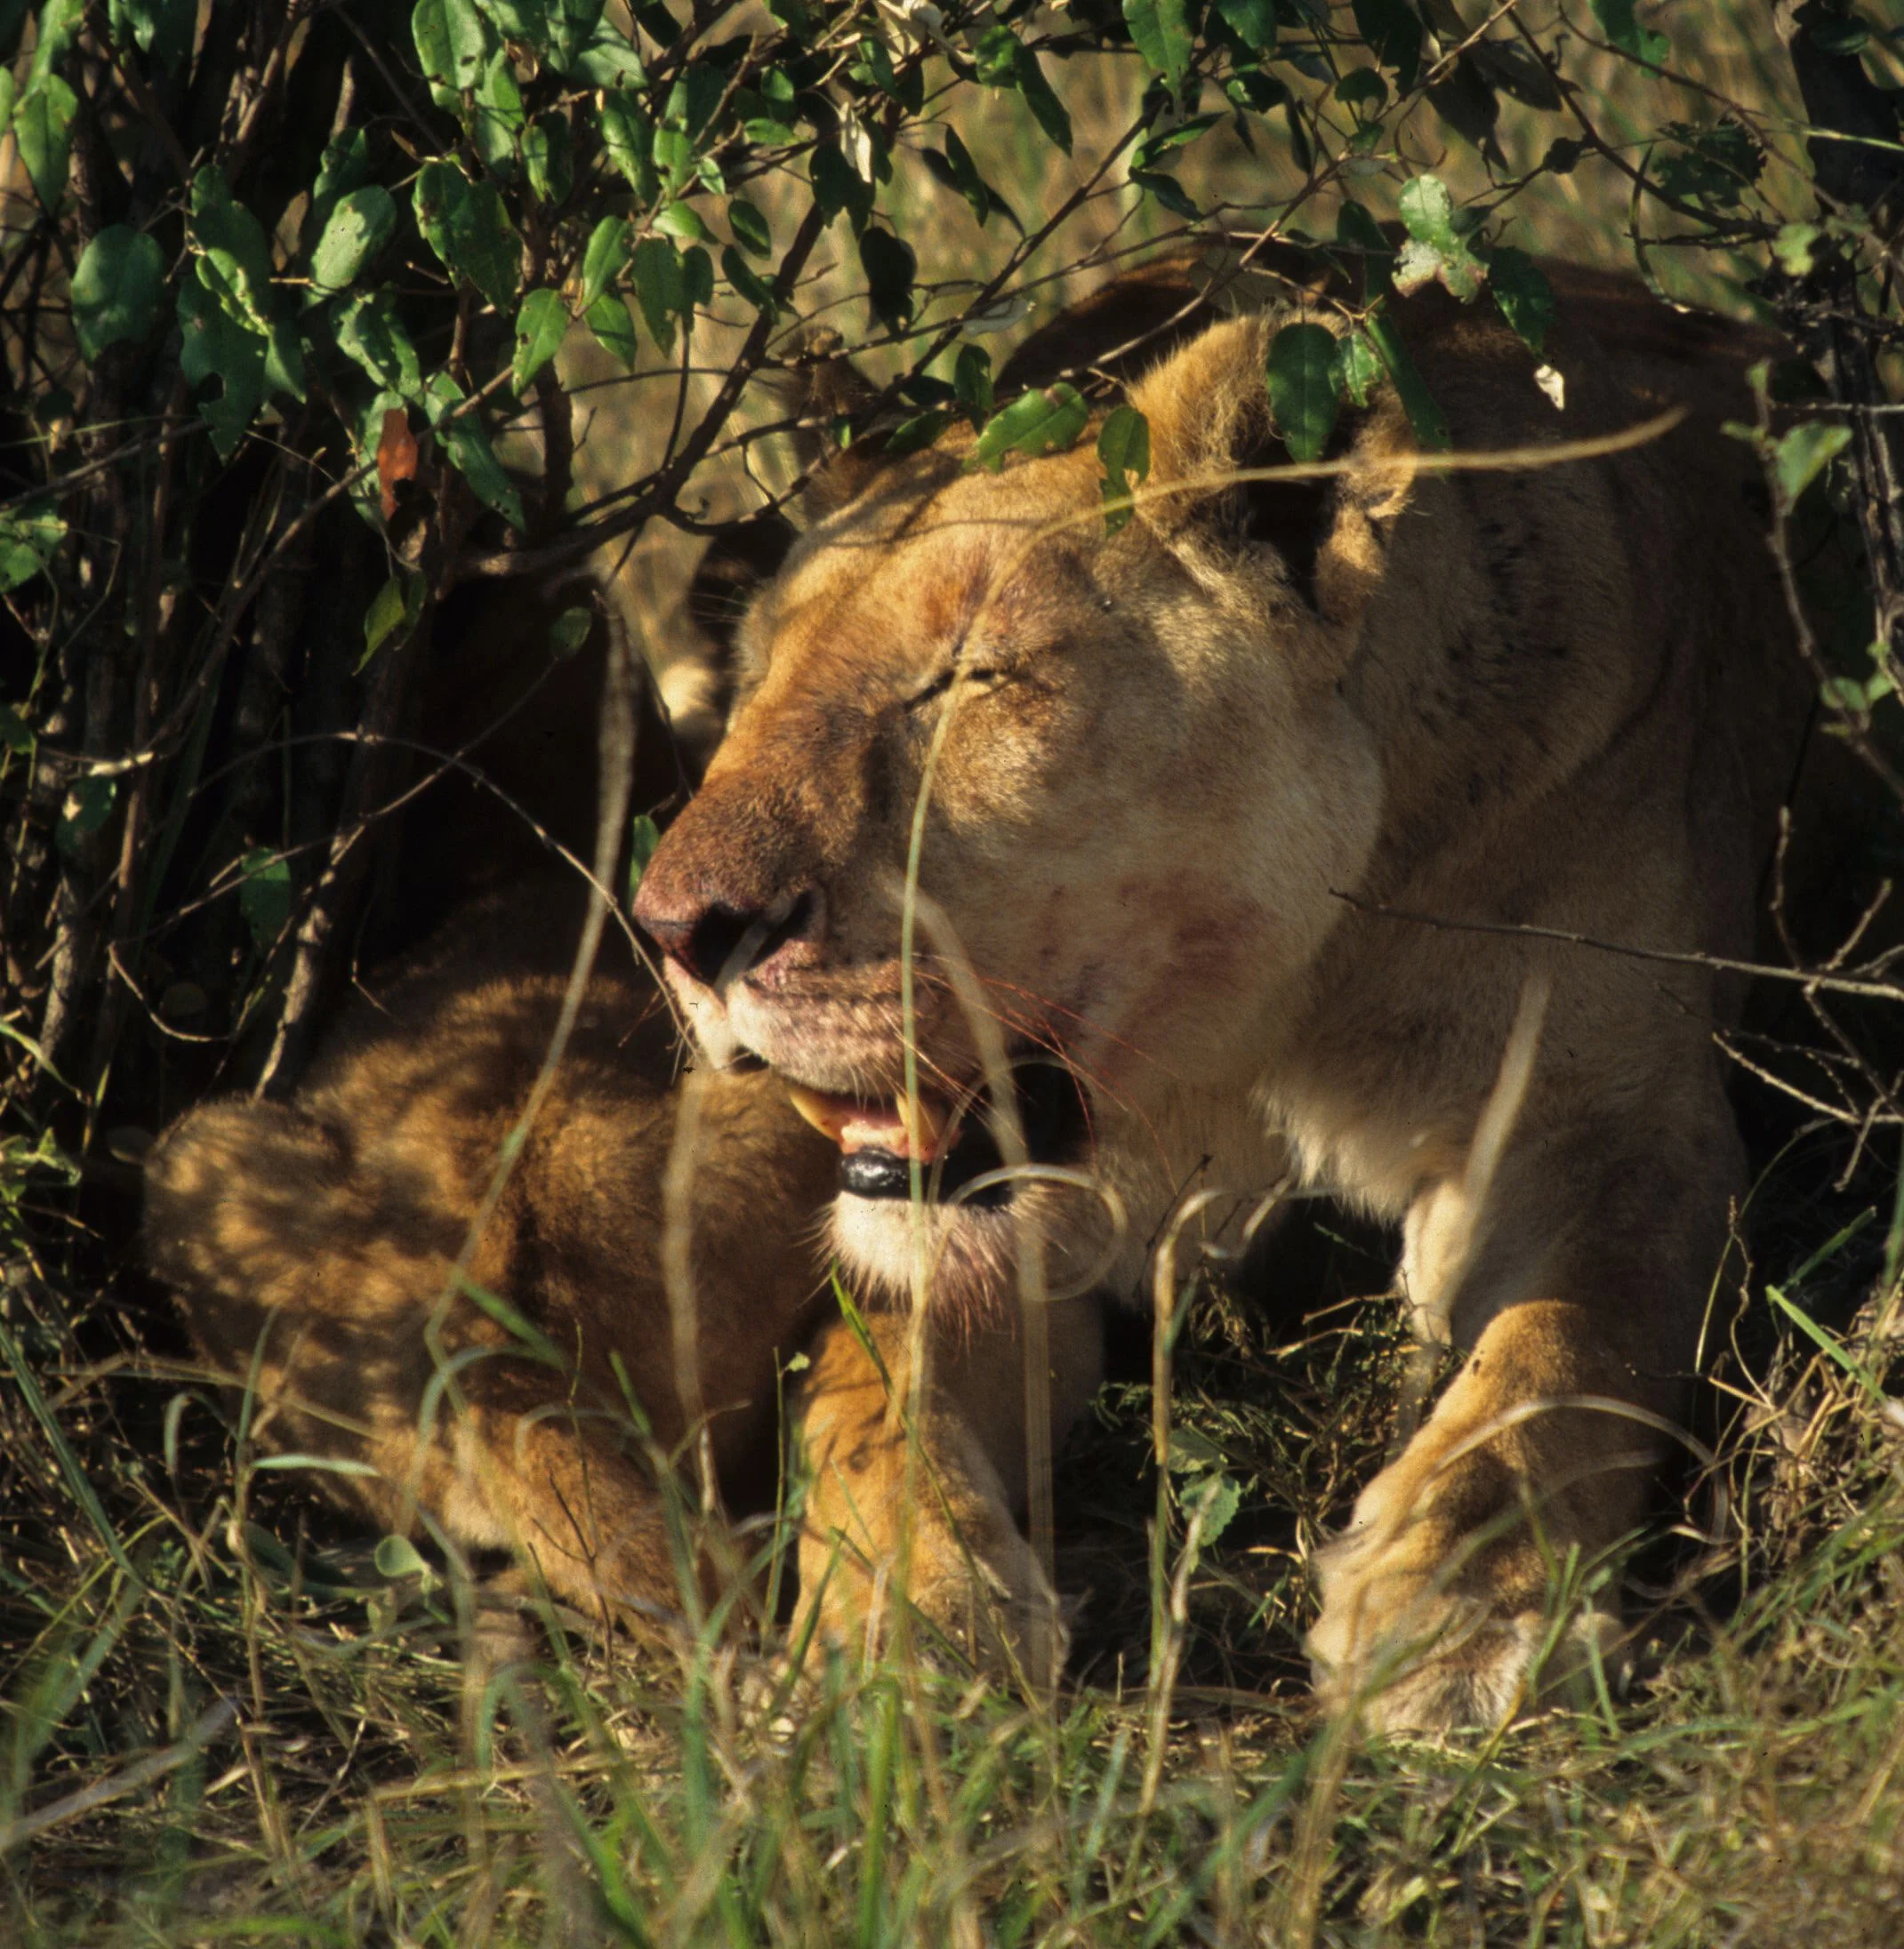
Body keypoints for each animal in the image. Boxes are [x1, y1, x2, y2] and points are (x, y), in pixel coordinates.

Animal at [629, 256, 1827, 1730]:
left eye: (971, 677)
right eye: (763, 675)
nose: (674, 930)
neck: (1256, 1022)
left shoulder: (1617, 1125)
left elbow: (1564, 1350)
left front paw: (1452, 1609)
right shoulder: (1009, 1231)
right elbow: (869, 1397)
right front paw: (901, 1638)